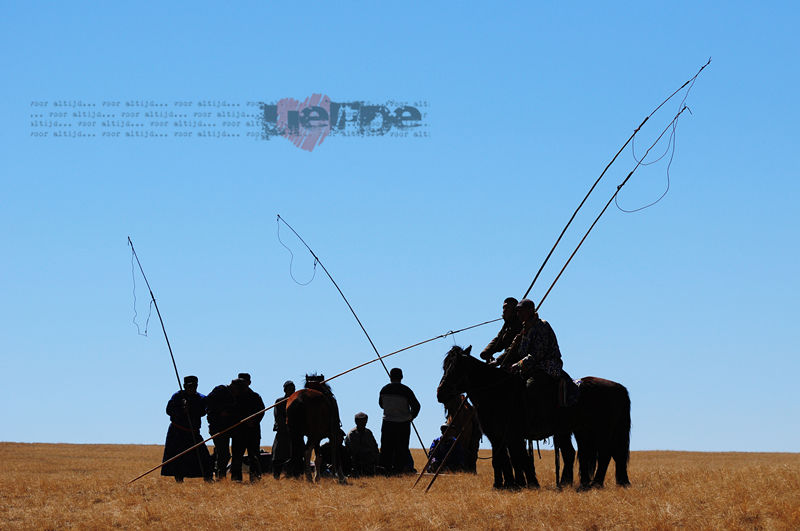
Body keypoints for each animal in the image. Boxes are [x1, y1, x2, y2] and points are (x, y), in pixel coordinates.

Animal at [438, 344, 632, 490]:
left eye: (455, 368)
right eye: (445, 367)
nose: (440, 393)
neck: (498, 392)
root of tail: (619, 388)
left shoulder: (513, 434)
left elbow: (519, 458)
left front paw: (526, 484)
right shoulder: (497, 436)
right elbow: (502, 459)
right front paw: (505, 485)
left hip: (601, 431)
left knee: (605, 454)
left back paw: (595, 484)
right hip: (580, 432)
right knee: (581, 454)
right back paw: (576, 483)